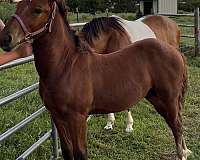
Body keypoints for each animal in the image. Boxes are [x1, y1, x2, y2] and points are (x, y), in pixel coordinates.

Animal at [0, 0, 191, 160]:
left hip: (168, 100)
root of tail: (176, 53)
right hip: (156, 98)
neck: (65, 67)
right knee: (178, 124)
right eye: (18, 7)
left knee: (177, 126)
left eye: (37, 10)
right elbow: (68, 151)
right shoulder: (57, 116)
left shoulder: (77, 118)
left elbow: (80, 153)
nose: (5, 38)